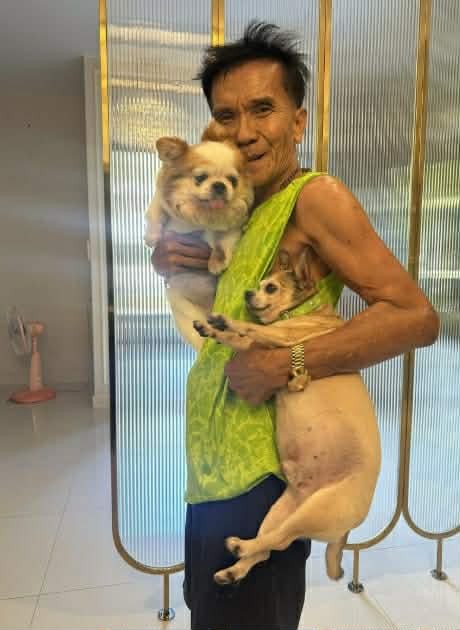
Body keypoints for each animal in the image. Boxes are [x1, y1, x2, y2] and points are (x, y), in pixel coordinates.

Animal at [144, 125, 254, 350]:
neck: (202, 215)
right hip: (179, 302)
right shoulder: (160, 202)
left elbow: (223, 243)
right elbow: (155, 211)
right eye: (200, 177)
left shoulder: (232, 228)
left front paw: (216, 262)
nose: (220, 185)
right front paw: (151, 236)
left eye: (232, 181)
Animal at [193, 249, 382, 583]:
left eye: (270, 288)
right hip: (281, 511)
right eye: (260, 284)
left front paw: (223, 322)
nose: (247, 292)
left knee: (276, 540)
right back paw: (234, 566)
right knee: (269, 547)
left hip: (315, 511)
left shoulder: (277, 336)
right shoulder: (261, 342)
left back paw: (240, 548)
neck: (298, 312)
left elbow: (249, 329)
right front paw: (214, 329)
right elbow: (242, 337)